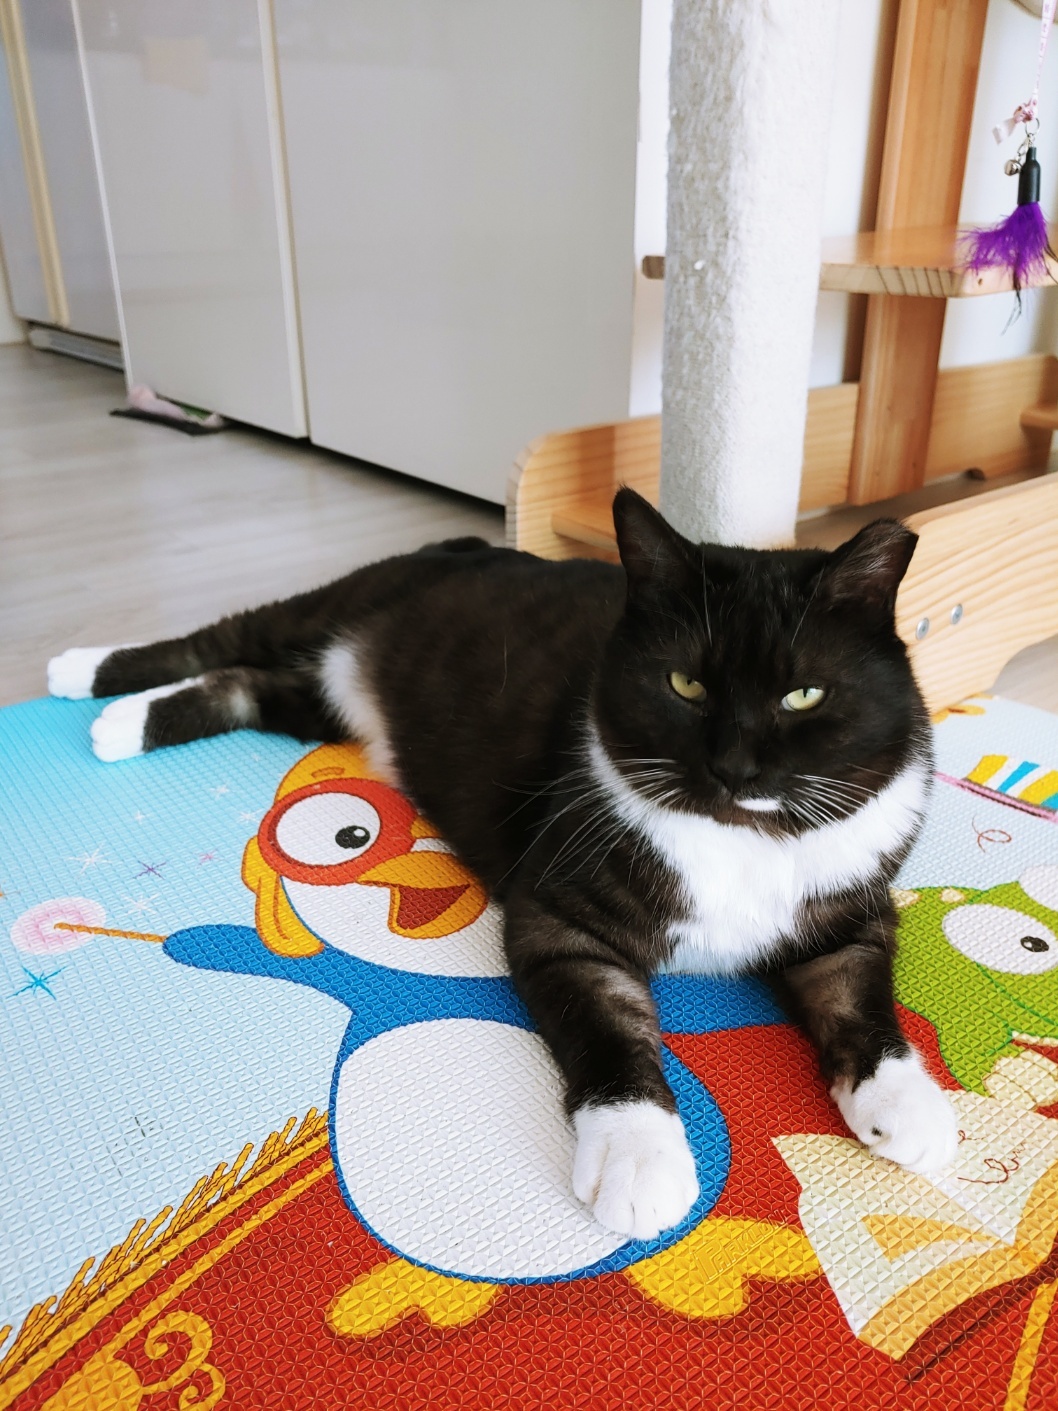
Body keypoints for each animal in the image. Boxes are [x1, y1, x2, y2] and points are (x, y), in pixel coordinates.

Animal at [48, 488, 958, 1239]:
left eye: (804, 695)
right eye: (685, 685)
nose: (735, 767)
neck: (738, 837)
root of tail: (460, 541)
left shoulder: (852, 905)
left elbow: (858, 992)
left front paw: (906, 1103)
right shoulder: (562, 920)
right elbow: (612, 1029)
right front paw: (640, 1160)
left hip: (317, 702)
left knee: (242, 682)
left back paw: (126, 720)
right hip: (328, 608)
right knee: (218, 638)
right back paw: (86, 677)